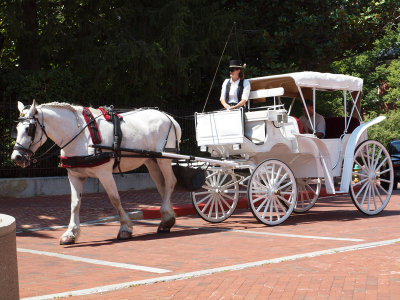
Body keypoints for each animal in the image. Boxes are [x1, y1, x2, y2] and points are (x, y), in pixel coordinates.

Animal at [10, 99, 183, 245]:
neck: (81, 136)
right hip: (151, 161)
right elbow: (75, 204)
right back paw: (166, 220)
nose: (16, 157)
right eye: (17, 129)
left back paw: (166, 216)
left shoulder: (104, 174)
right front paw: (70, 233)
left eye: (29, 129)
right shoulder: (75, 176)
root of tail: (169, 118)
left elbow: (115, 199)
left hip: (164, 159)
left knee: (170, 182)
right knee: (162, 185)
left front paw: (125, 228)